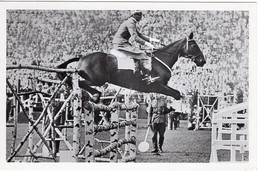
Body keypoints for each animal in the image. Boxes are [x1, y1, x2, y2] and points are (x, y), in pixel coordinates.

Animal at [57, 32, 205, 101]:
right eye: (193, 45)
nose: (202, 61)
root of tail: (82, 57)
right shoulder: (156, 86)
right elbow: (176, 94)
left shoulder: (161, 86)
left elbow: (177, 93)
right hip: (97, 80)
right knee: (80, 83)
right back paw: (96, 95)